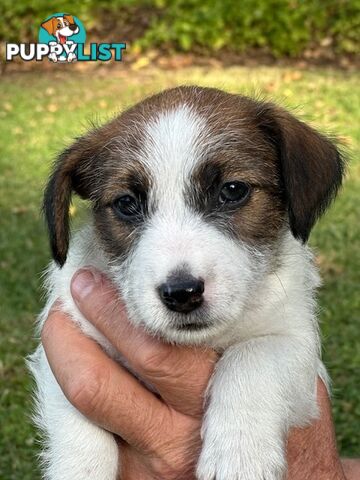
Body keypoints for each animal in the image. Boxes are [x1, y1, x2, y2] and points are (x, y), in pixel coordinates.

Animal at [28, 87, 344, 480]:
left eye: (233, 190)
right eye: (127, 203)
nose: (182, 294)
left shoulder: (296, 341)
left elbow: (252, 355)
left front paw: (239, 454)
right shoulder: (68, 346)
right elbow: (79, 426)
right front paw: (80, 469)